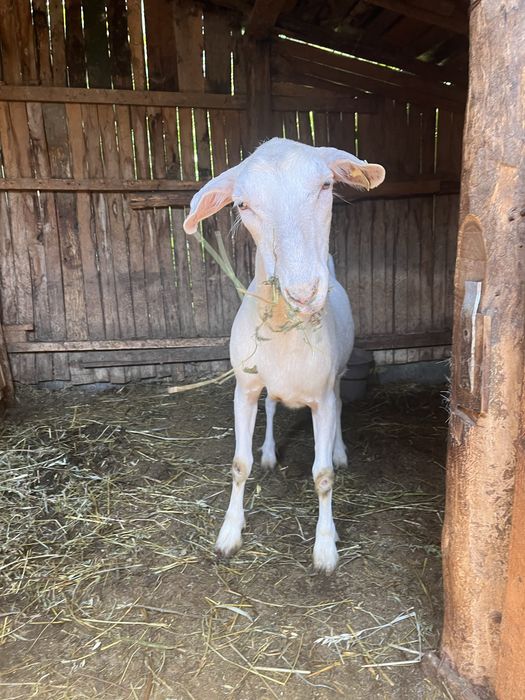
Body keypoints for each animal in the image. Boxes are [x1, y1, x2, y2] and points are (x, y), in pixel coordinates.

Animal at [184, 138, 385, 572]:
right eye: (242, 204)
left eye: (326, 185)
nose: (304, 292)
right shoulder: (244, 387)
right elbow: (238, 464)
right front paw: (229, 534)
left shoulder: (321, 394)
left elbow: (322, 475)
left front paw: (325, 548)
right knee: (273, 407)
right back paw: (270, 452)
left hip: (338, 377)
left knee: (340, 407)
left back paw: (340, 451)